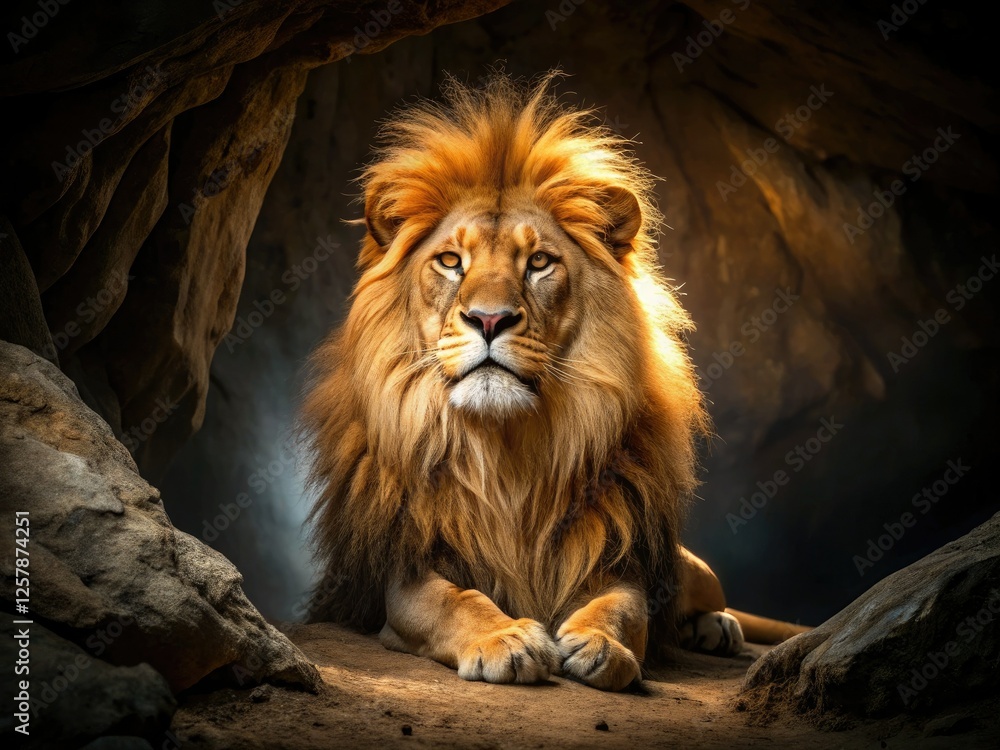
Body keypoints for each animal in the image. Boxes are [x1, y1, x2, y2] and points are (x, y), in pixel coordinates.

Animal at [302, 73, 808, 691]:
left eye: (539, 262)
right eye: (450, 261)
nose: (489, 319)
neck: (505, 450)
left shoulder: (616, 553)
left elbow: (626, 606)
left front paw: (601, 644)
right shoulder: (407, 573)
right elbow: (455, 601)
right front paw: (507, 640)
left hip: (687, 562)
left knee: (708, 595)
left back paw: (715, 627)